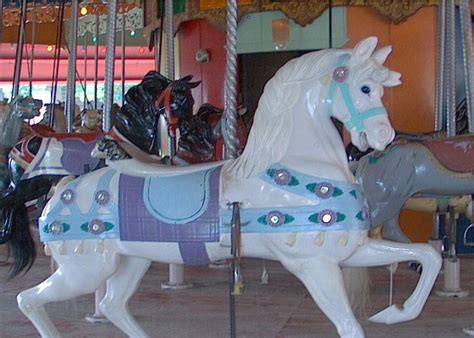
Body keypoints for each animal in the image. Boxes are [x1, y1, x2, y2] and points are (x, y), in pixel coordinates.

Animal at [0, 70, 248, 278]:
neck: (129, 139)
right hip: (27, 186)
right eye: (179, 101)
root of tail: (17, 146)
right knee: (8, 201)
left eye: (192, 100)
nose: (190, 132)